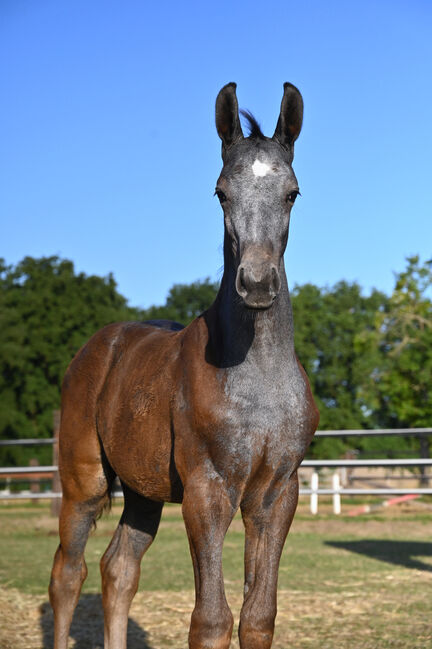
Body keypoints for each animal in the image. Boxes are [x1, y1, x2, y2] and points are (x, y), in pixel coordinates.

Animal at [49, 81, 318, 648]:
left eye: (292, 193)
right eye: (221, 193)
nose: (256, 284)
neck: (257, 382)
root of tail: (97, 347)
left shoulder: (277, 495)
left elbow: (258, 617)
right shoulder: (206, 491)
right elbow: (211, 620)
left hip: (143, 492)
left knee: (117, 569)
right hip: (84, 482)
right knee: (68, 573)